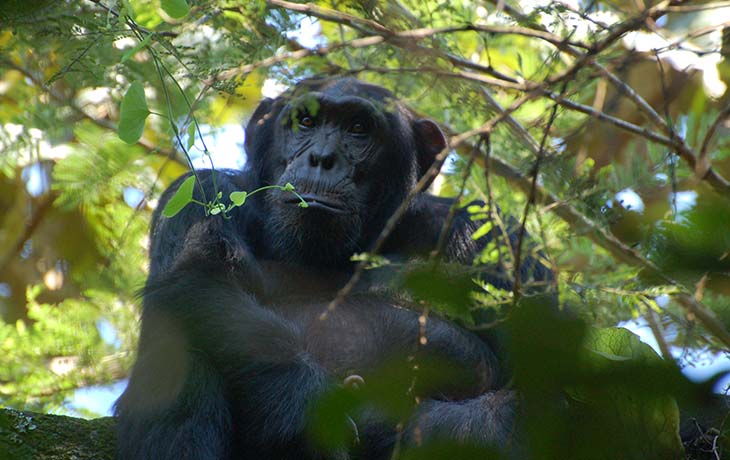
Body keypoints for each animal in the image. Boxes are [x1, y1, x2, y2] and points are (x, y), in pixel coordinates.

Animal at [112, 77, 540, 458]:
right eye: (305, 121)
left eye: (358, 128)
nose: (321, 158)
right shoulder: (199, 193)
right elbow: (203, 274)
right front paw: (306, 413)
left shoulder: (489, 235)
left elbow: (540, 390)